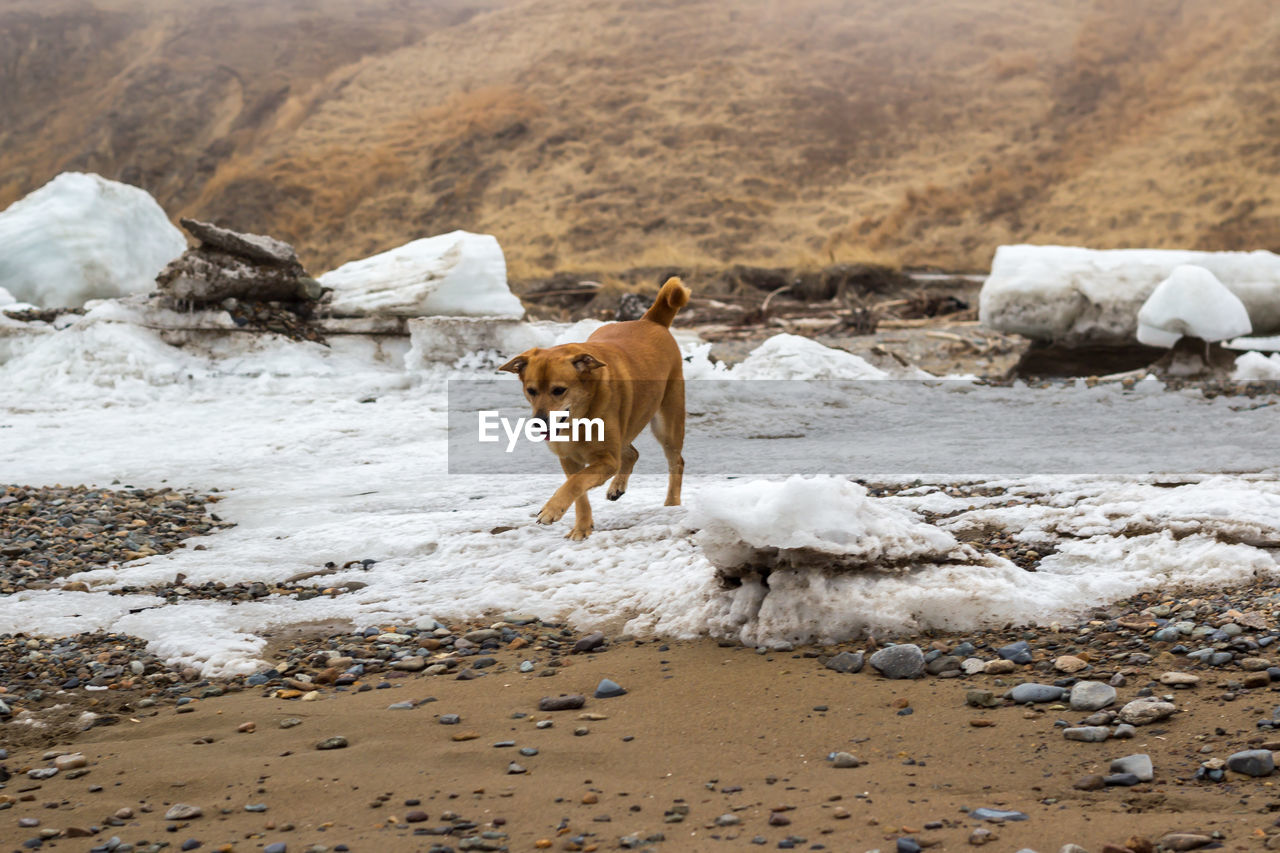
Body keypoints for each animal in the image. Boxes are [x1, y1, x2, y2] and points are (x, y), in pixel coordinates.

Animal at [496, 275, 691, 537]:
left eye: (559, 390)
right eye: (531, 390)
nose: (538, 423)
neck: (579, 419)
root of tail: (651, 321)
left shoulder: (607, 459)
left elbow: (576, 482)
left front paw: (551, 509)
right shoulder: (569, 459)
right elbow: (578, 489)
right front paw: (581, 527)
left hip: (667, 423)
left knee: (676, 462)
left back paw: (671, 504)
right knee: (632, 453)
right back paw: (617, 487)